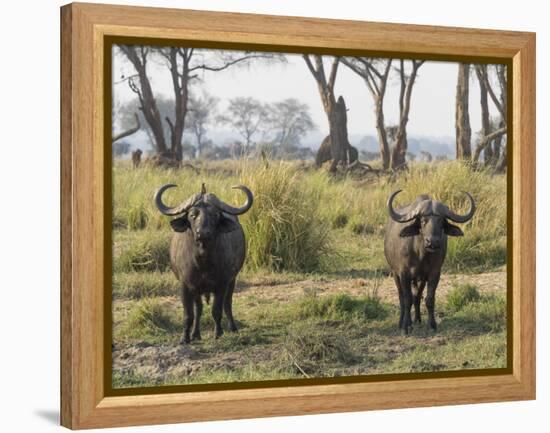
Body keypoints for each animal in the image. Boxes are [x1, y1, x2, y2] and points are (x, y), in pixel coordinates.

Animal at [155, 183, 254, 344]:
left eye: (214, 215)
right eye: (192, 215)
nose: (203, 233)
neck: (203, 261)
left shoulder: (222, 284)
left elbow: (217, 310)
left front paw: (218, 333)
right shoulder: (186, 286)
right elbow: (189, 314)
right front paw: (185, 338)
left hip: (232, 281)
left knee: (228, 304)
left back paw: (233, 328)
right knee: (199, 309)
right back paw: (196, 334)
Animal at [384, 190, 478, 334]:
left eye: (441, 221)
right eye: (423, 221)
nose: (432, 242)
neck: (420, 254)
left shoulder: (434, 273)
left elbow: (429, 299)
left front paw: (432, 324)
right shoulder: (404, 273)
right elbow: (407, 299)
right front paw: (406, 326)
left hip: (420, 279)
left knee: (417, 296)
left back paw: (417, 319)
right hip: (395, 273)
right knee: (402, 297)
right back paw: (402, 322)